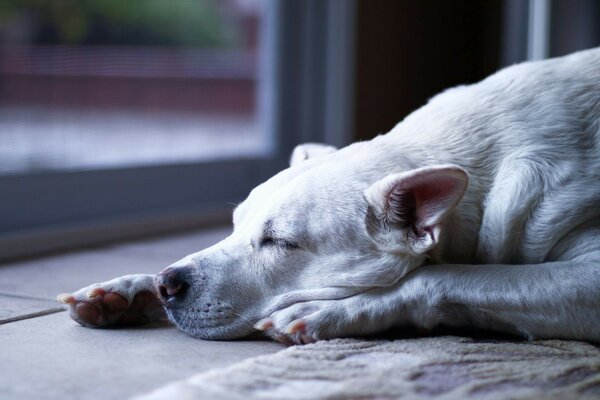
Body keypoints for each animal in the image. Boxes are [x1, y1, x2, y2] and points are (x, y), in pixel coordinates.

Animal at [57, 47, 600, 344]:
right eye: (233, 226)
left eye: (281, 243)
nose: (169, 285)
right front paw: (129, 289)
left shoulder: (584, 277)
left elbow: (451, 277)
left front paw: (332, 313)